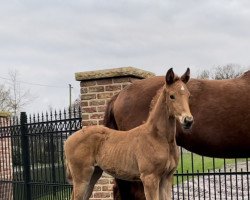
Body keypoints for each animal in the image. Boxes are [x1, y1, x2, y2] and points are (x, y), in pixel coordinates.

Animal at [64, 68, 193, 199]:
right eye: (172, 96)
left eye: (188, 95)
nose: (188, 121)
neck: (158, 137)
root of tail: (67, 140)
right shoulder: (149, 178)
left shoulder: (166, 178)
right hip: (81, 177)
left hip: (94, 173)